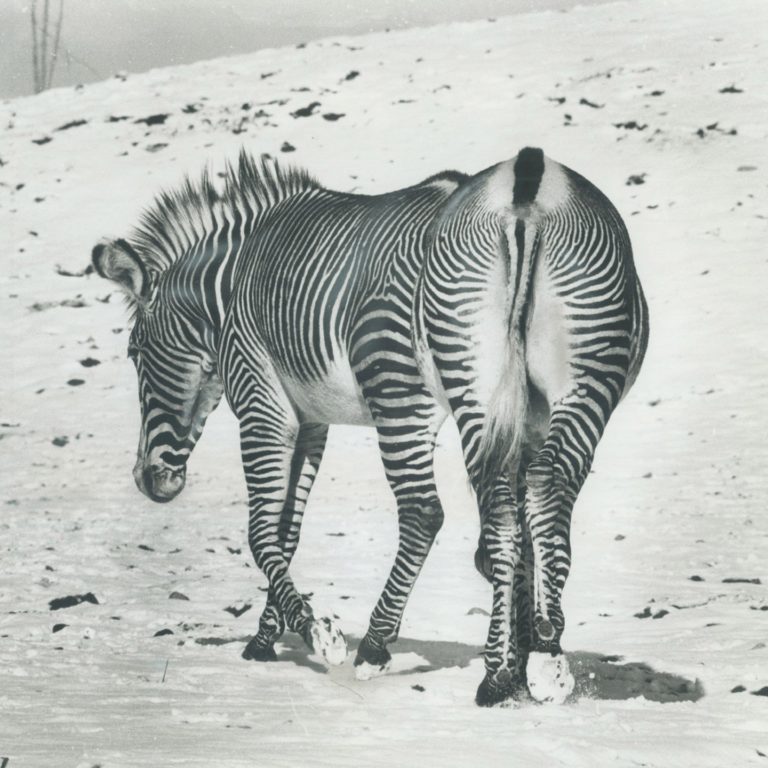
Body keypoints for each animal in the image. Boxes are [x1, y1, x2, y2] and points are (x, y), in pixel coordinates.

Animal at [92, 147, 648, 706]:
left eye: (134, 351)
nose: (149, 480)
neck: (235, 283)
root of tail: (528, 182)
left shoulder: (263, 401)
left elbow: (260, 533)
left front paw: (317, 632)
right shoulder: (313, 421)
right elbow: (287, 531)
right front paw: (267, 636)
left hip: (406, 392)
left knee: (428, 513)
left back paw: (388, 650)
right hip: (572, 383)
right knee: (540, 494)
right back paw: (540, 663)